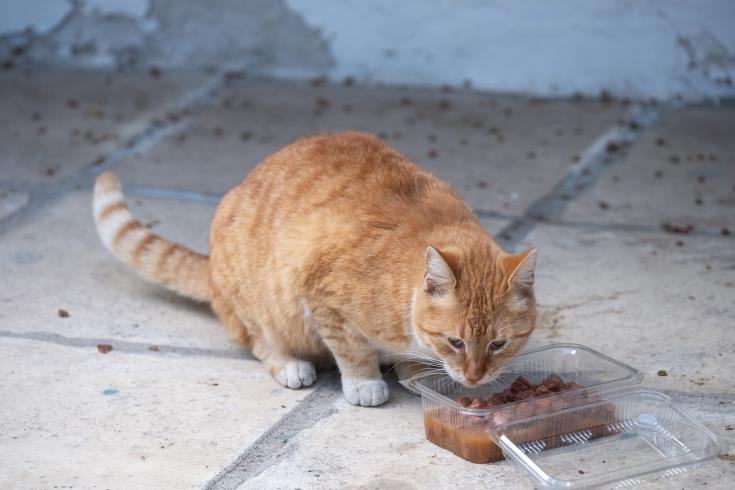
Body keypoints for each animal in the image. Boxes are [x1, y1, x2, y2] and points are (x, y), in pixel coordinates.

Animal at [95, 130, 536, 406]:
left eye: (498, 344)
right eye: (456, 342)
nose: (475, 378)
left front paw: (414, 371)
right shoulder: (325, 300)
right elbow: (353, 350)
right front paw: (365, 383)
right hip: (260, 306)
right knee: (259, 341)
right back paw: (290, 364)